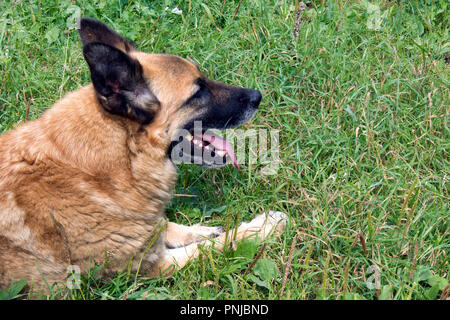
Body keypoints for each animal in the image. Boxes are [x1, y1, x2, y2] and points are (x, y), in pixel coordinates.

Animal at [0, 16, 286, 292]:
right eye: (198, 92)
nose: (257, 96)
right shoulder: (156, 266)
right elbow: (221, 245)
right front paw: (262, 227)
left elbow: (165, 225)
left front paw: (201, 230)